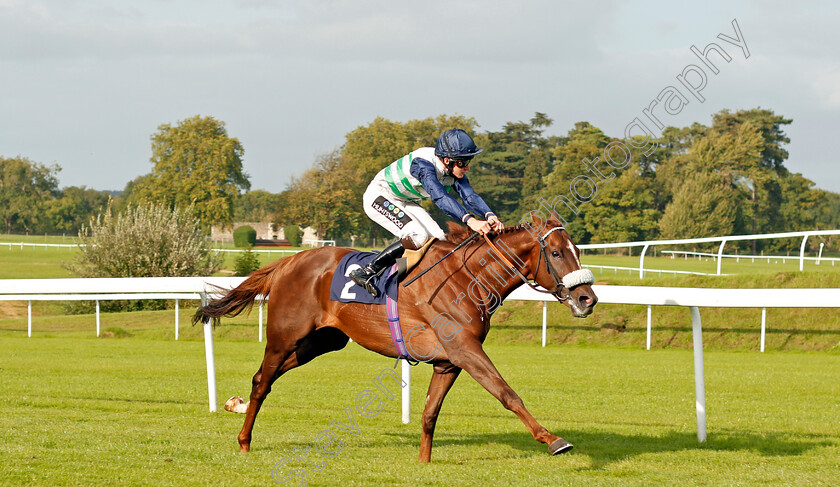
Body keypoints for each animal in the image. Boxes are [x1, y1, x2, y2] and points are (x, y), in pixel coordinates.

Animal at [194, 216, 596, 462]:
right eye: (556, 252)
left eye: (577, 250)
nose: (587, 299)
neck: (467, 277)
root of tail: (290, 261)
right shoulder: (466, 350)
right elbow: (507, 393)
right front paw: (553, 440)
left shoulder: (449, 361)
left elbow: (430, 412)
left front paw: (424, 461)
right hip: (284, 336)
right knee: (262, 380)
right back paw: (244, 439)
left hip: (320, 342)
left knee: (270, 377)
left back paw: (235, 405)